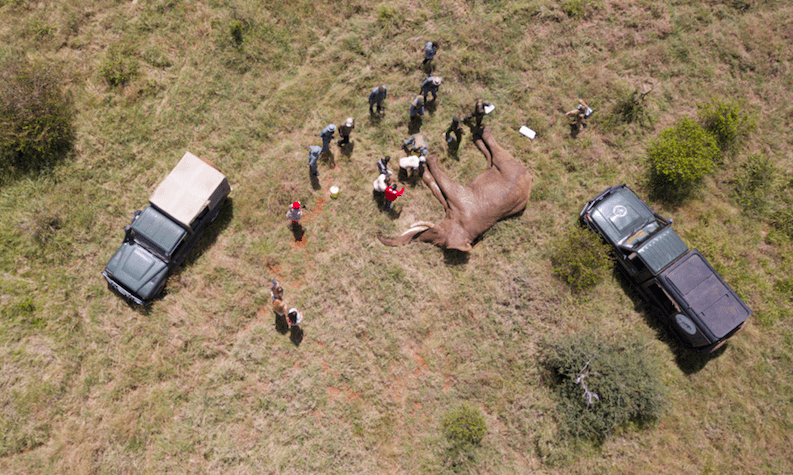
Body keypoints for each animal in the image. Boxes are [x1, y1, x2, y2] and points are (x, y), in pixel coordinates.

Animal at [378, 126, 532, 252]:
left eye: (437, 236)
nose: (379, 233)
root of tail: (529, 177)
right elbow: (440, 191)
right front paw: (425, 166)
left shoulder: (462, 201)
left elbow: (443, 188)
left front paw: (427, 162)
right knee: (494, 155)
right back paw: (477, 135)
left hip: (509, 170)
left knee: (497, 154)